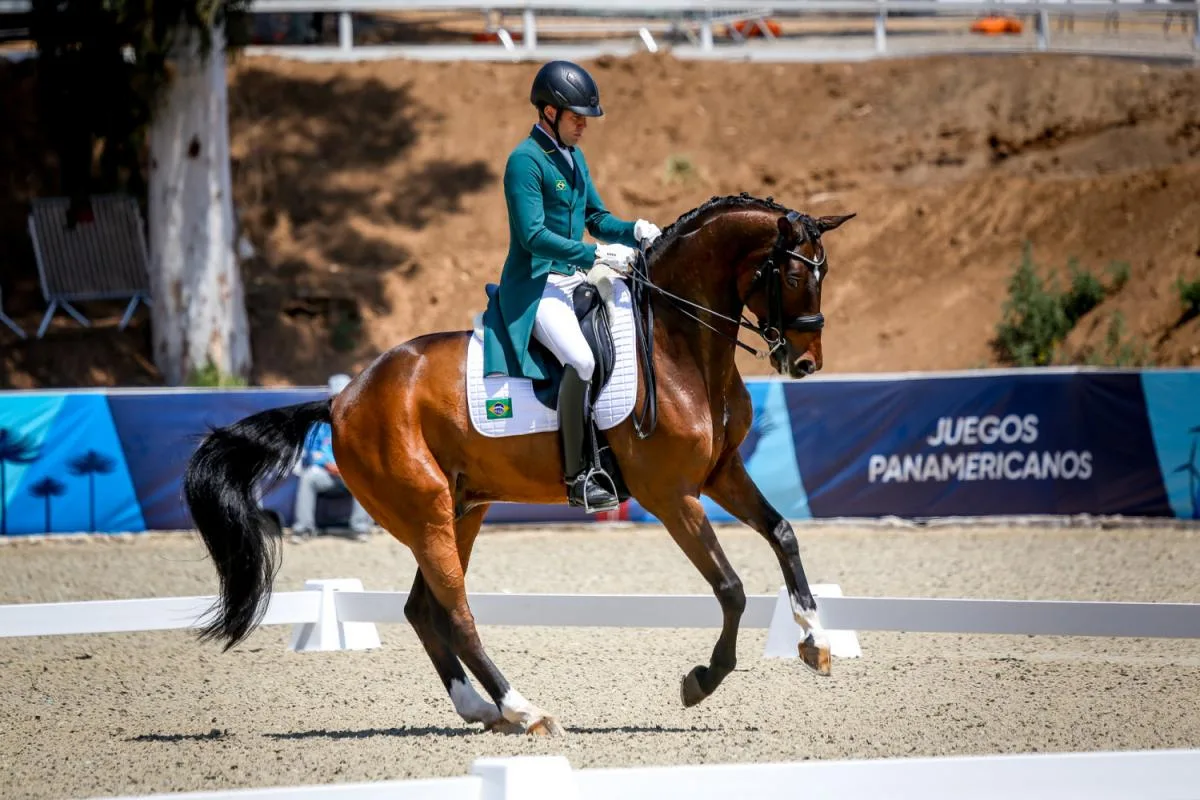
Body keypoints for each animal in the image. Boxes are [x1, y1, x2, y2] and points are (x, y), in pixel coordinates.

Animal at [182, 191, 854, 738]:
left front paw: (816, 640)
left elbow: (783, 534)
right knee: (456, 613)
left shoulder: (720, 473)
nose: (805, 364)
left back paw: (481, 709)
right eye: (796, 273)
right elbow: (731, 588)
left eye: (823, 274)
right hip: (426, 513)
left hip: (461, 510)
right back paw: (523, 709)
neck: (677, 344)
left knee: (424, 610)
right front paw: (702, 679)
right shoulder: (671, 495)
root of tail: (344, 398)